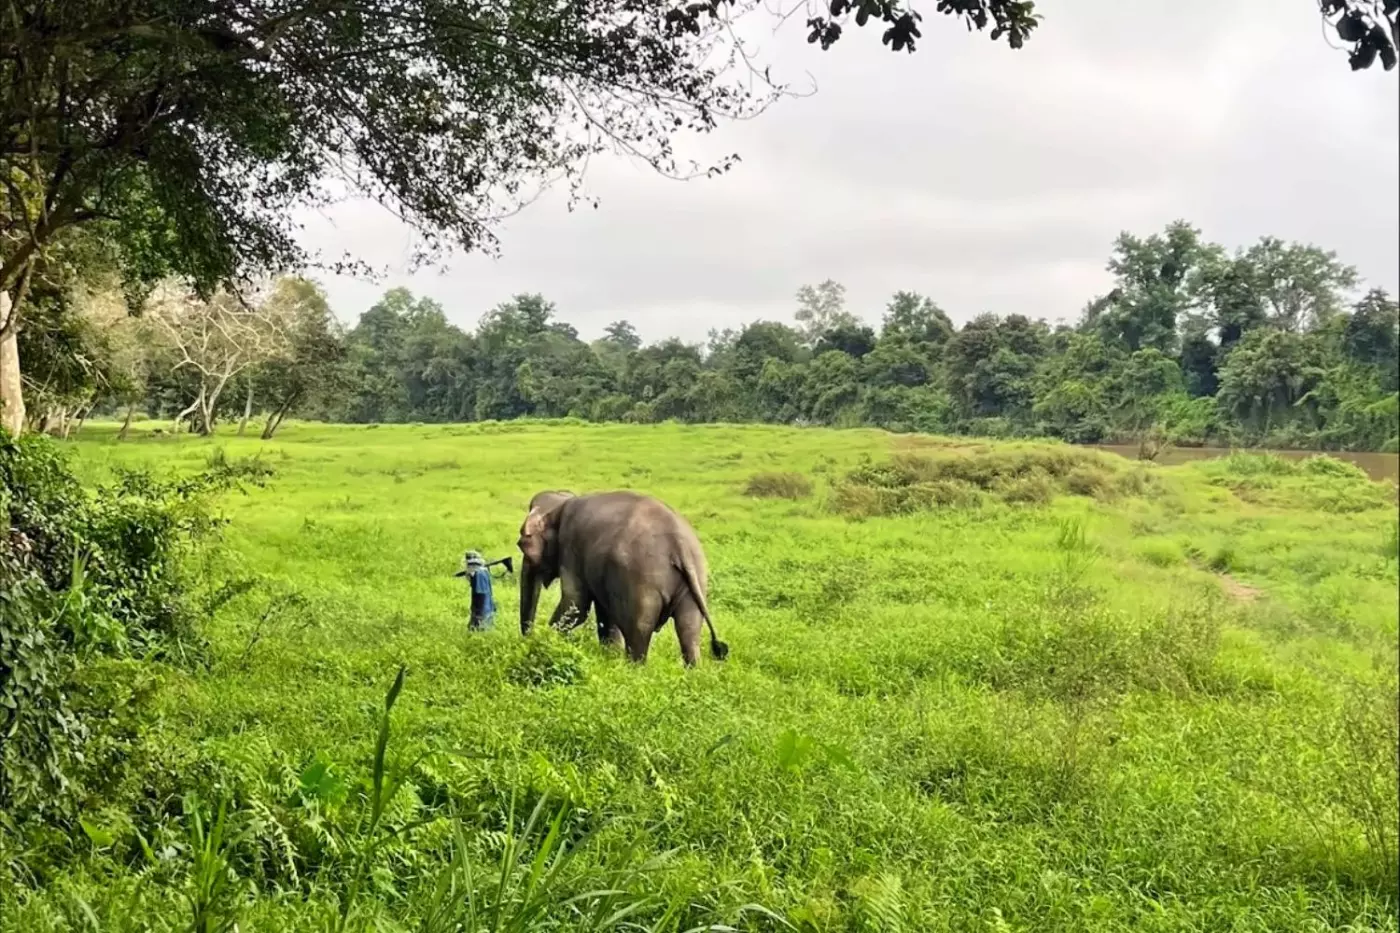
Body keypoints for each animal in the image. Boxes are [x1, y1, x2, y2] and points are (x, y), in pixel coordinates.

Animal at [516, 490, 729, 666]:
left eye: (522, 545)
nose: (528, 638)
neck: (561, 504)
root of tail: (679, 544)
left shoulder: (571, 548)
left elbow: (576, 604)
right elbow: (603, 611)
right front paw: (610, 656)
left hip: (642, 583)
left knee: (639, 630)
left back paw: (634, 671)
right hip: (695, 580)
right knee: (689, 629)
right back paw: (693, 670)